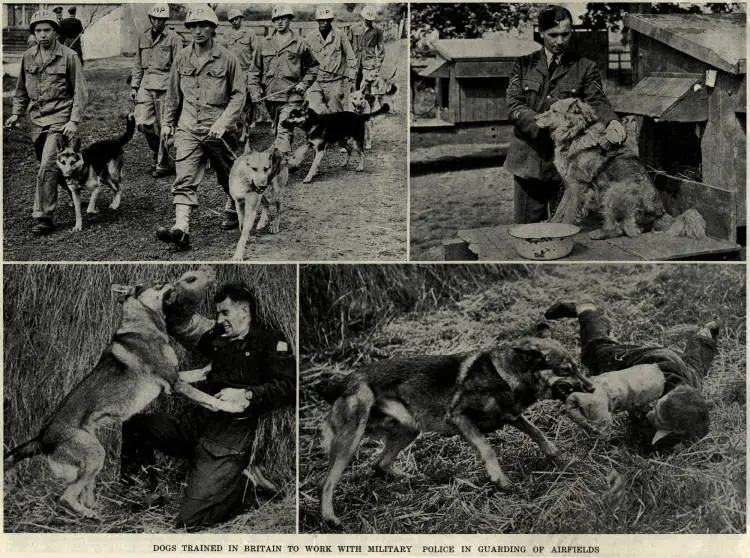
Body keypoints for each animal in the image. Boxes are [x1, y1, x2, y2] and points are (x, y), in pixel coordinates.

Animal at [314, 336, 596, 528]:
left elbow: (537, 432)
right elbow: (487, 449)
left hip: (409, 429)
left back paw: (413, 478)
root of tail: (342, 382)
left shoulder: (511, 416)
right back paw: (329, 518)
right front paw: (499, 478)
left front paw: (557, 455)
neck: (507, 375)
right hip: (351, 438)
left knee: (379, 463)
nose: (592, 388)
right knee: (328, 481)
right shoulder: (460, 417)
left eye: (576, 367)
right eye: (566, 369)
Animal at [536, 99, 708, 240]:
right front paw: (553, 223)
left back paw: (599, 233)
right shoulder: (570, 185)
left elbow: (569, 212)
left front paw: (566, 229)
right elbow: (561, 208)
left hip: (611, 193)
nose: (535, 118)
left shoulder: (579, 185)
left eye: (554, 111)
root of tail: (660, 214)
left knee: (621, 230)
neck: (577, 134)